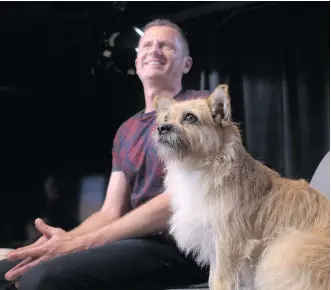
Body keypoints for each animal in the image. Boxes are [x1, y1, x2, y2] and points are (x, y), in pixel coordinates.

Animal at [154, 84, 330, 290]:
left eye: (190, 118)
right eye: (166, 118)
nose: (161, 128)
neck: (200, 168)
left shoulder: (228, 249)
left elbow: (221, 283)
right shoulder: (215, 253)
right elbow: (212, 280)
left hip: (284, 250)